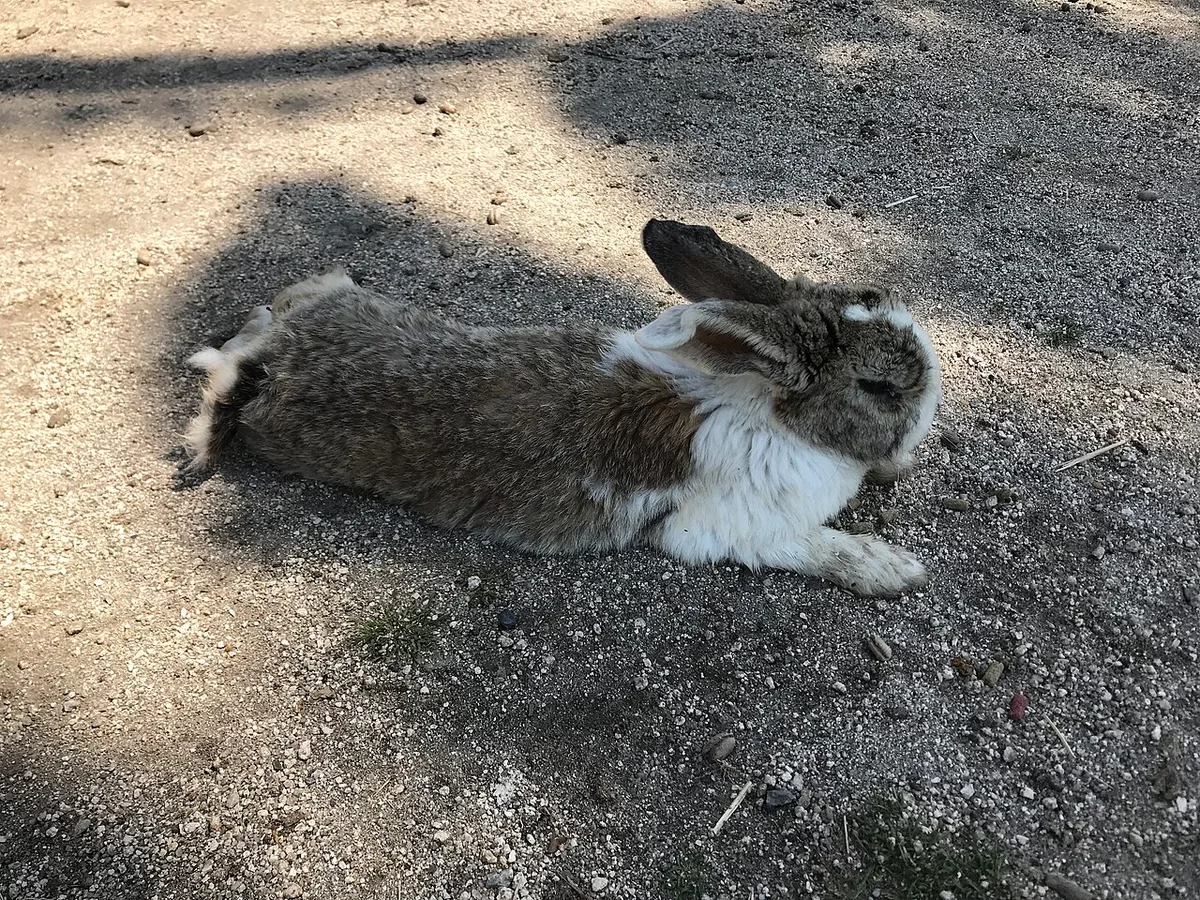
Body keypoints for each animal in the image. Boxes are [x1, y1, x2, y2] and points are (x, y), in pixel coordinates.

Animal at [183, 219, 942, 596]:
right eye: (880, 387)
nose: (927, 417)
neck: (771, 409)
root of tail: (276, 366)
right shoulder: (731, 529)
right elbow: (818, 547)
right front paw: (893, 571)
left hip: (331, 304)